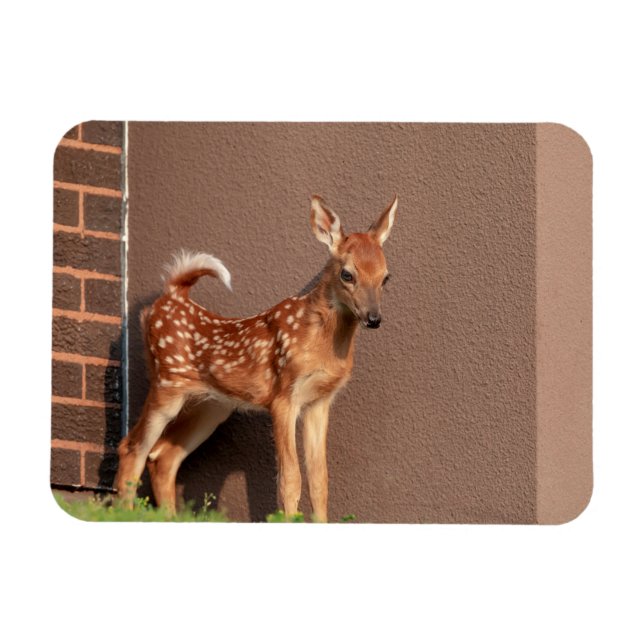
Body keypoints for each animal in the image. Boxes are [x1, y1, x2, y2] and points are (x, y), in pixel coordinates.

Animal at [115, 195, 398, 522]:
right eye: (347, 274)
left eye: (386, 277)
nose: (374, 318)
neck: (322, 344)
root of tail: (171, 295)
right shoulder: (283, 396)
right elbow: (290, 479)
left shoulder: (320, 401)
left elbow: (320, 481)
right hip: (167, 384)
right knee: (132, 447)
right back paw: (123, 513)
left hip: (212, 406)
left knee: (163, 455)